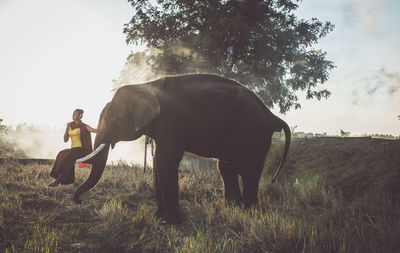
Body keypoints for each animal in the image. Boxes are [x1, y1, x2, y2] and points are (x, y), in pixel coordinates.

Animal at [73, 73, 290, 223]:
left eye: (113, 119)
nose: (79, 201)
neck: (146, 86)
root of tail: (272, 116)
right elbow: (158, 161)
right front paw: (157, 217)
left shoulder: (171, 121)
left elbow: (165, 160)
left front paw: (169, 222)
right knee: (226, 167)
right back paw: (233, 208)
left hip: (252, 133)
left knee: (248, 169)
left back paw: (249, 211)